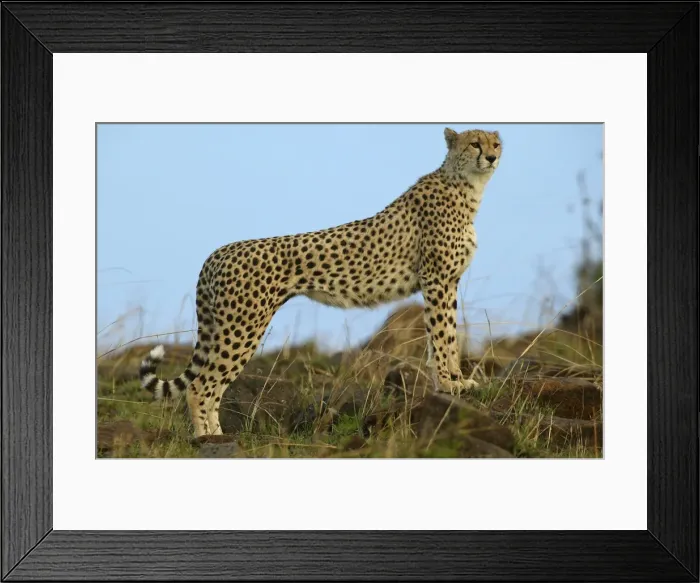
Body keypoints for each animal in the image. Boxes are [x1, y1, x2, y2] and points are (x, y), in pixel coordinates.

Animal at [139, 127, 502, 437]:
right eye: (474, 144)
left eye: (495, 144)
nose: (491, 157)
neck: (465, 186)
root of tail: (217, 252)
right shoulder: (437, 280)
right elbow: (442, 337)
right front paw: (451, 385)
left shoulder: (447, 282)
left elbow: (447, 336)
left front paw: (455, 382)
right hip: (242, 327)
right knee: (201, 386)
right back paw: (207, 439)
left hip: (226, 327)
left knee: (208, 385)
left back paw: (215, 434)